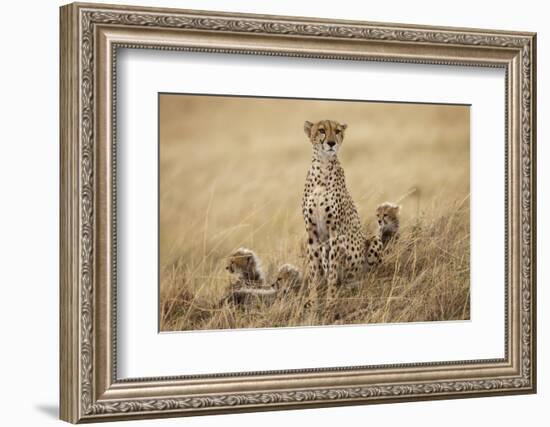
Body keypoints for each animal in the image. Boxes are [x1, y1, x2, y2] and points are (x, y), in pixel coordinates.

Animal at [302, 120, 384, 308]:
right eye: (322, 130)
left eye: (338, 131)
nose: (331, 143)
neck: (323, 167)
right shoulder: (312, 232)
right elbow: (313, 272)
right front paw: (313, 302)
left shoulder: (335, 233)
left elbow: (332, 272)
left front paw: (330, 301)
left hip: (373, 242)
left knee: (368, 275)